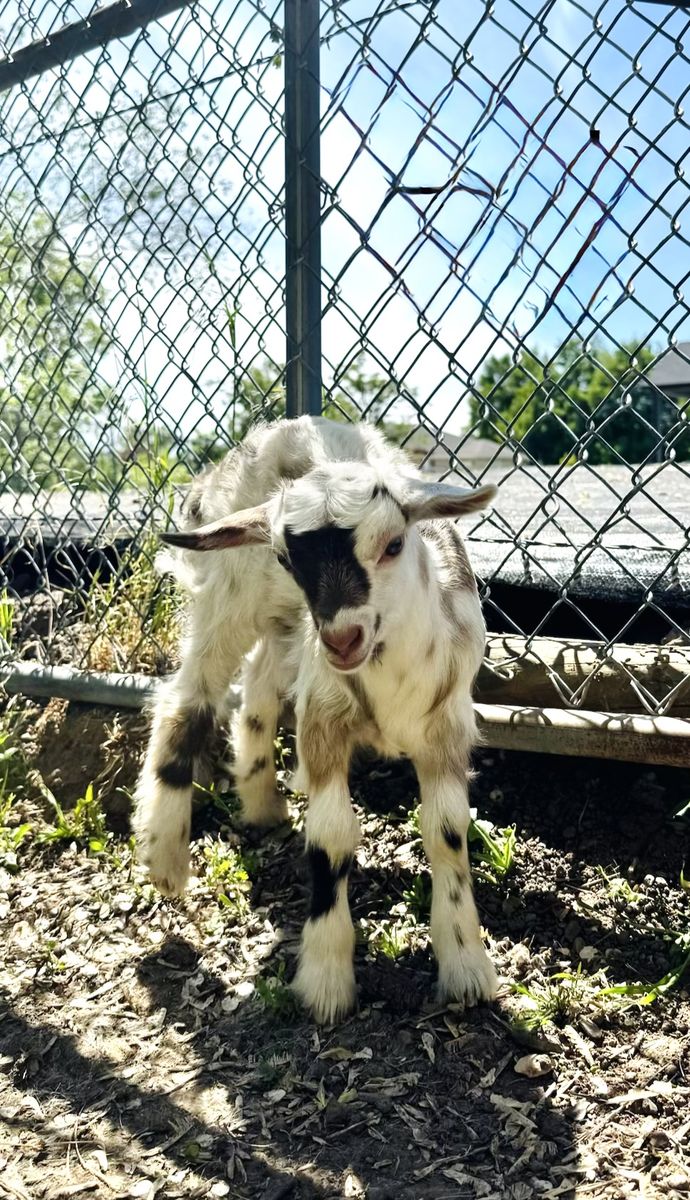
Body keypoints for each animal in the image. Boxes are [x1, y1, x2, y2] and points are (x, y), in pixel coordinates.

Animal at [133, 416, 498, 1023]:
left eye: (394, 543)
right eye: (285, 557)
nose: (342, 638)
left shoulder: (446, 723)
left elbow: (446, 831)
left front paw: (466, 968)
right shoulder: (324, 717)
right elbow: (332, 839)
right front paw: (326, 978)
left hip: (285, 626)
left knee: (257, 688)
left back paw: (262, 804)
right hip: (230, 599)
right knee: (187, 700)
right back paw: (164, 856)